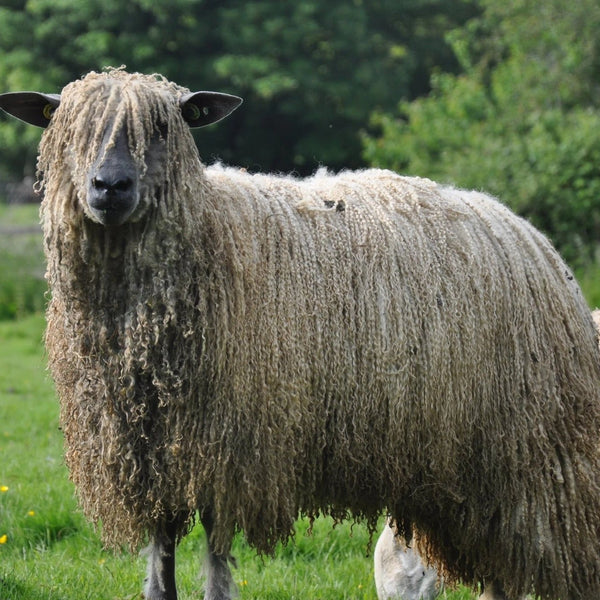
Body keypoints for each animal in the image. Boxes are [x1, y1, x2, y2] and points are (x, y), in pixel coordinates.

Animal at [1, 68, 600, 600]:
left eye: (164, 128)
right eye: (67, 129)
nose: (110, 187)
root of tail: (524, 232)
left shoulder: (233, 447)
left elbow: (215, 560)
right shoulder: (153, 454)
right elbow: (161, 559)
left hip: (526, 458)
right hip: (459, 471)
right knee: (494, 570)